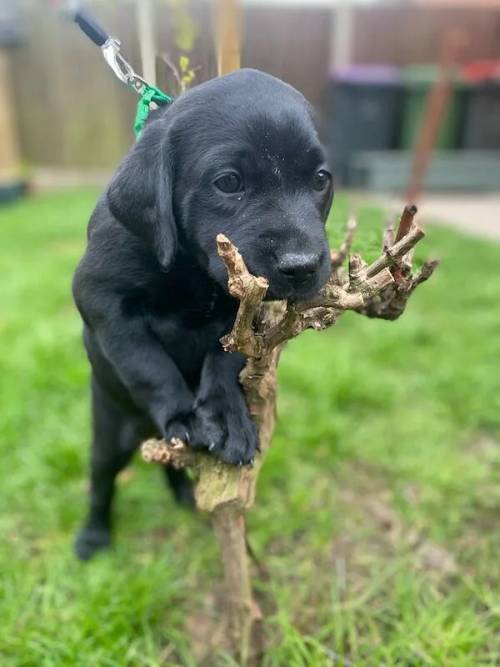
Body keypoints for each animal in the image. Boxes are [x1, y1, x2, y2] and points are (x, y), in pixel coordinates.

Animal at [72, 69, 334, 560]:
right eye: (229, 182)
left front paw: (226, 416)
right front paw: (187, 413)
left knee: (171, 468)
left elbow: (224, 355)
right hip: (109, 434)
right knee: (101, 483)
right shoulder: (100, 299)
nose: (303, 265)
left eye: (321, 179)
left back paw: (184, 496)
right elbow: (146, 362)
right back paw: (93, 535)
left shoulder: (249, 310)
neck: (192, 268)